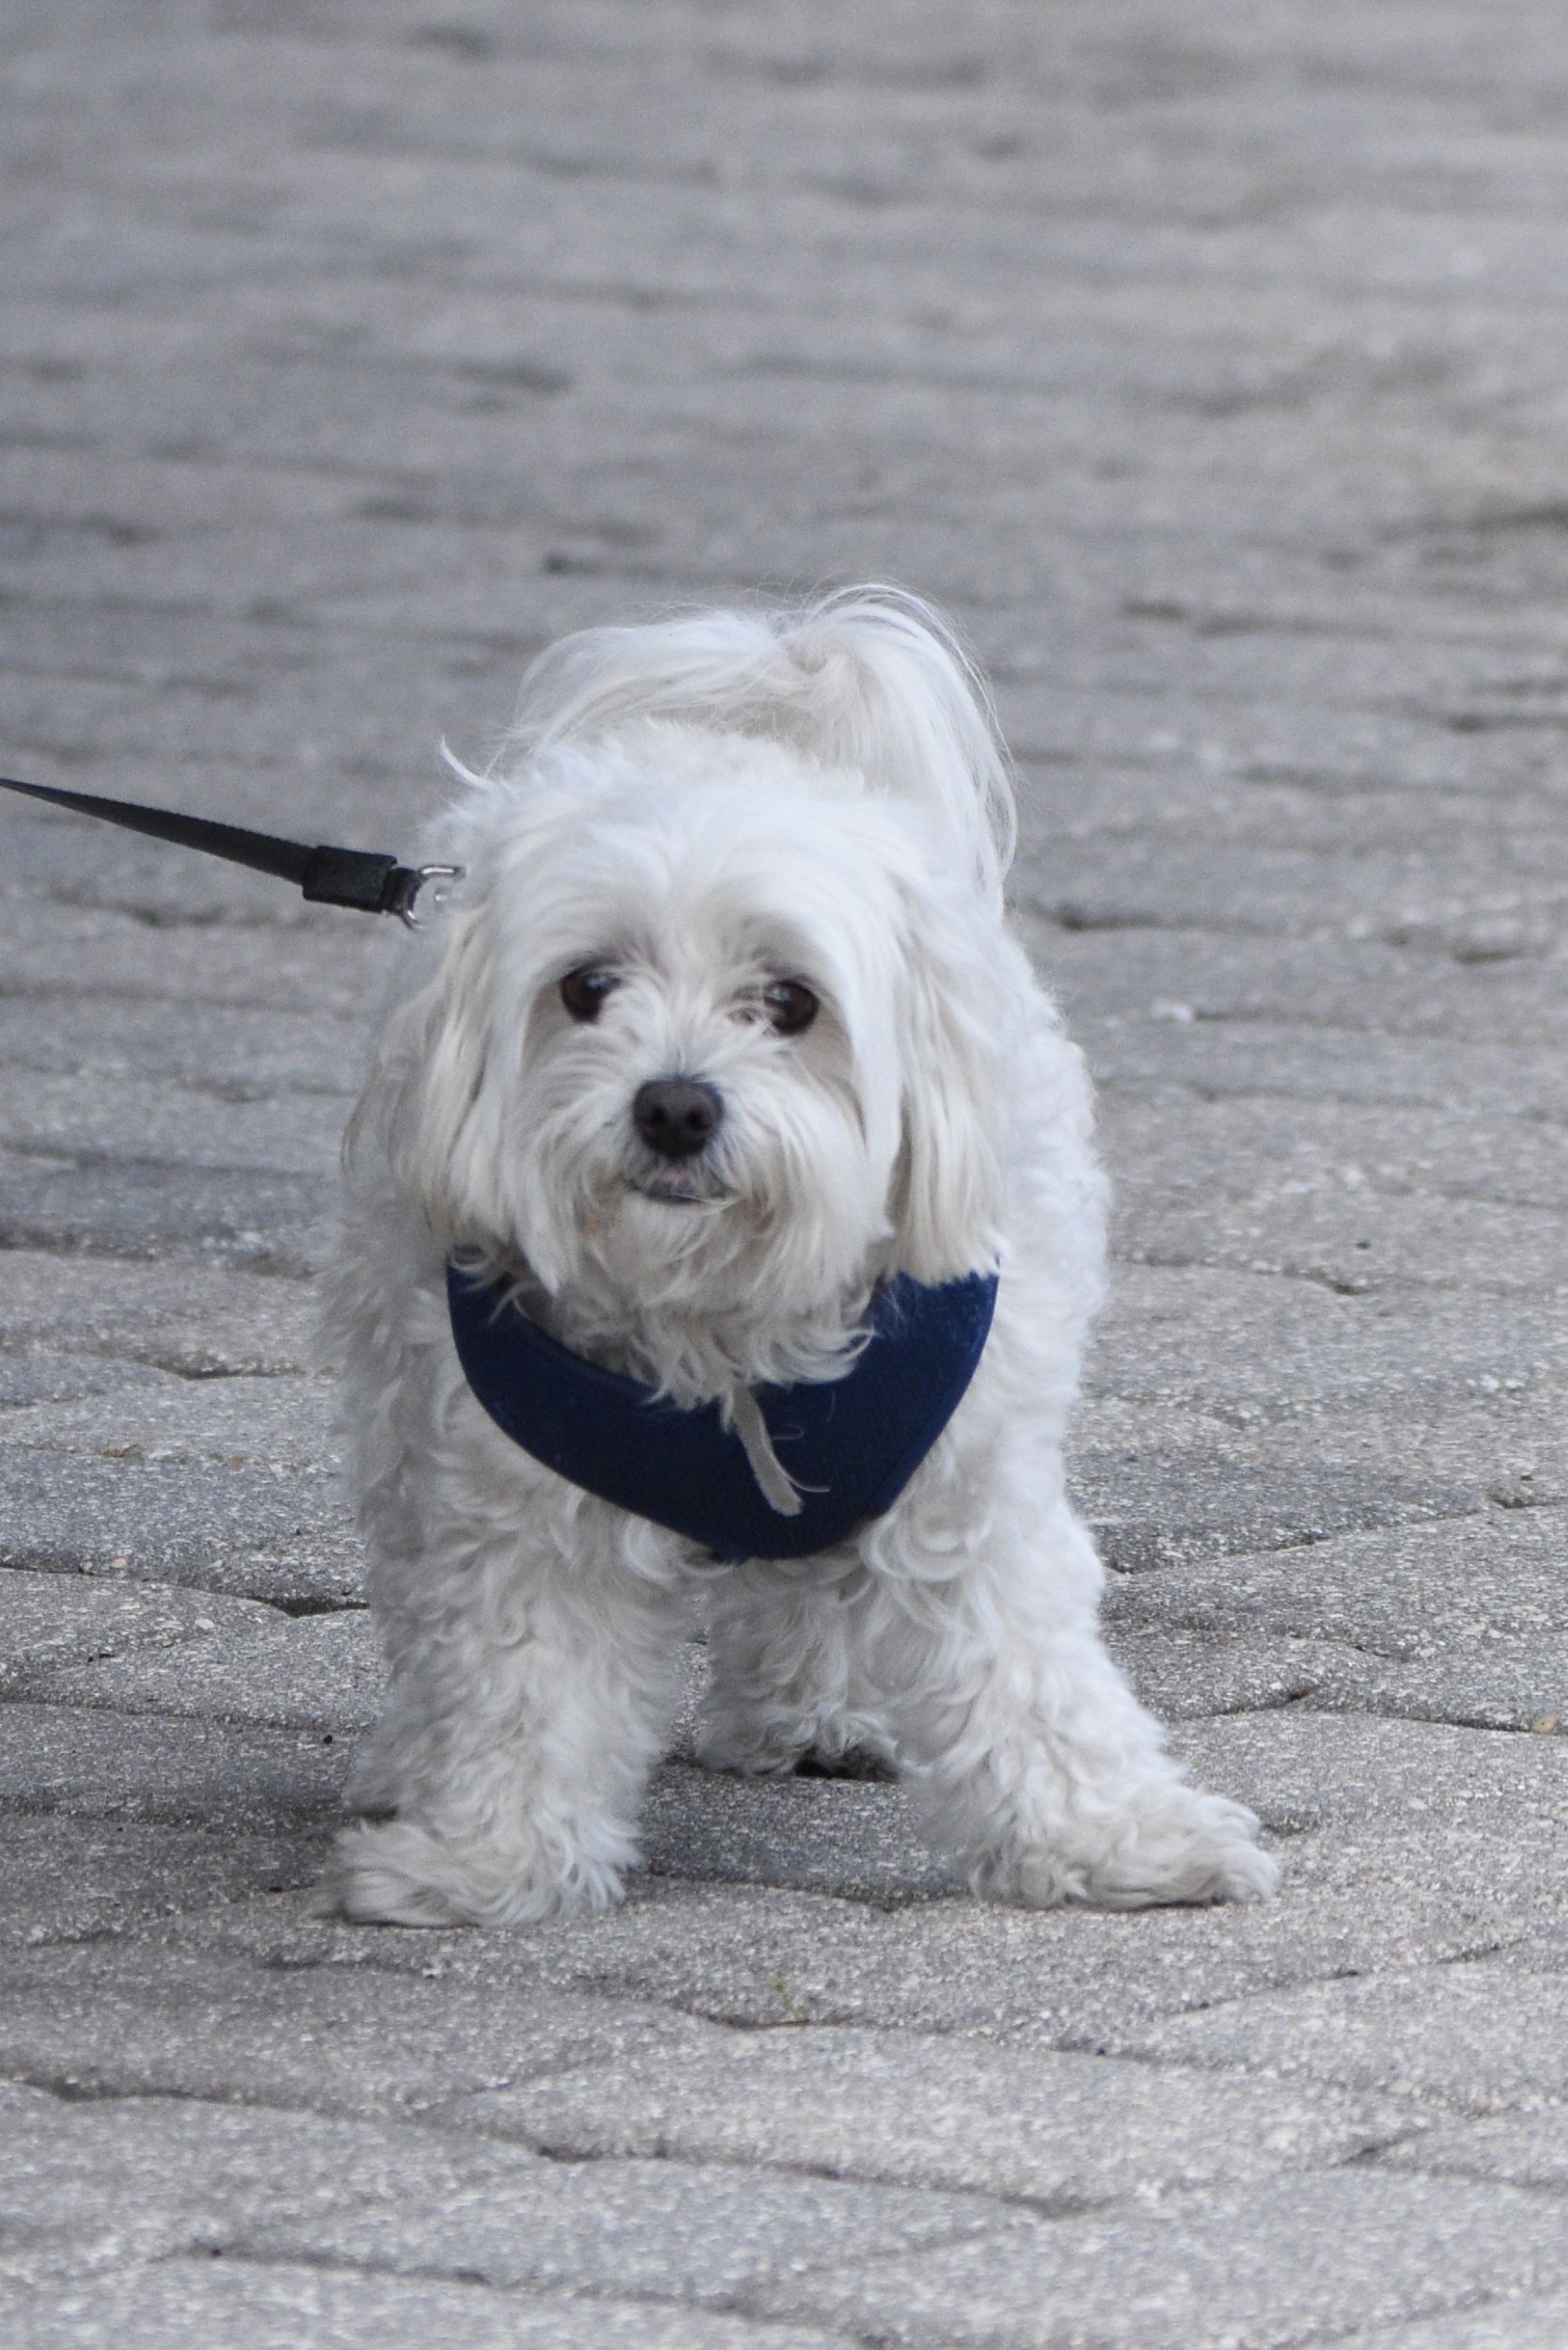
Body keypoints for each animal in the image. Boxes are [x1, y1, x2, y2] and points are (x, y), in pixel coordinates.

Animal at [324, 587, 1276, 1926]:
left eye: (789, 1002)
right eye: (587, 987)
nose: (675, 1105)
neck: (718, 1319)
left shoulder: (964, 1474)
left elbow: (1028, 1674)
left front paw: (1118, 1840)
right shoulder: (517, 1500)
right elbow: (523, 1684)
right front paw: (484, 1862)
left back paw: (811, 1712)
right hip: (403, 1398)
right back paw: (415, 1754)